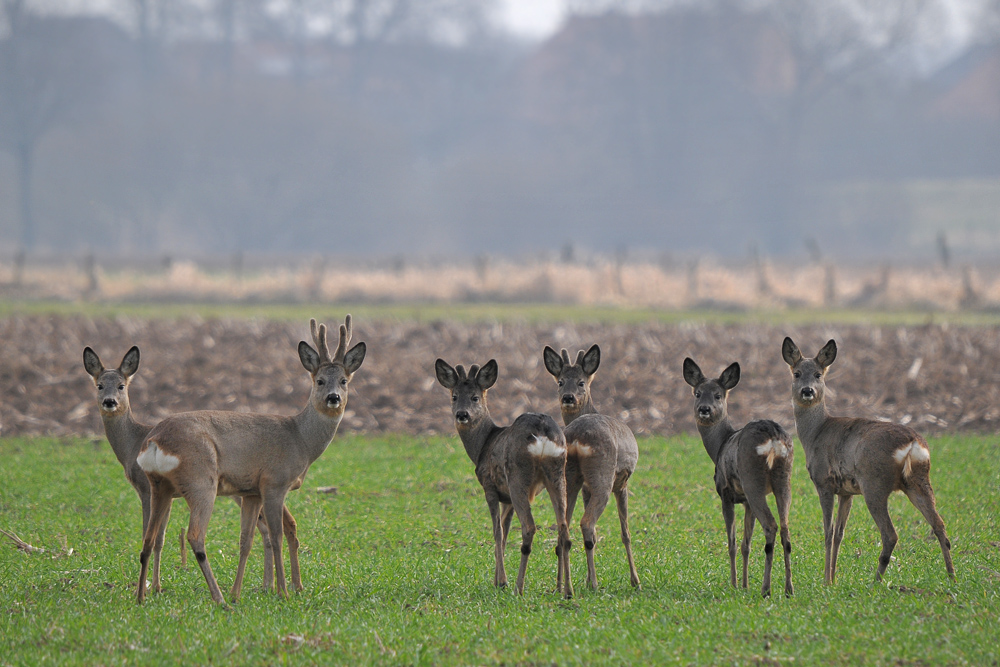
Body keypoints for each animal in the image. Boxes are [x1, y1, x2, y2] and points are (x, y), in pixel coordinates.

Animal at [135, 316, 366, 604]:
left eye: (344, 380)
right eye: (320, 381)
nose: (333, 398)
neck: (300, 438)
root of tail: (155, 441)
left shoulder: (251, 491)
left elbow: (246, 540)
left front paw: (239, 592)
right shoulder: (274, 482)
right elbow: (277, 536)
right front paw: (283, 591)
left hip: (159, 486)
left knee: (148, 538)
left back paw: (142, 597)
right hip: (201, 481)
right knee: (195, 536)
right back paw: (219, 599)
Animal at [434, 360, 576, 600]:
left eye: (475, 397)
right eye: (454, 396)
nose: (462, 414)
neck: (483, 445)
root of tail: (542, 432)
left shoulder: (490, 486)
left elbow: (497, 532)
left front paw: (501, 582)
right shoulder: (507, 498)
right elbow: (505, 531)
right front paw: (497, 579)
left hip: (518, 476)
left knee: (529, 527)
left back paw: (519, 587)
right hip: (557, 473)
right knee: (564, 528)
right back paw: (566, 590)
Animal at [540, 348, 640, 592]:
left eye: (581, 382)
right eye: (560, 381)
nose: (568, 397)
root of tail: (576, 438)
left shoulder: (586, 488)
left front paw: (583, 578)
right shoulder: (622, 482)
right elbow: (625, 532)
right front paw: (635, 580)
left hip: (570, 478)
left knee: (564, 526)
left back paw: (561, 586)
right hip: (602, 477)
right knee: (586, 523)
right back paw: (594, 584)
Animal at [680, 358, 796, 596]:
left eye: (718, 395)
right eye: (697, 393)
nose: (704, 409)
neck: (719, 445)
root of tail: (773, 438)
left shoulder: (726, 493)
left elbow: (732, 543)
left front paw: (734, 584)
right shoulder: (746, 502)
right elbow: (746, 544)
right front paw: (744, 584)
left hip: (753, 481)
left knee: (771, 526)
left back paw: (766, 589)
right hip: (783, 479)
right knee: (786, 529)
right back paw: (789, 589)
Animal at [780, 340, 952, 584]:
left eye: (818, 374)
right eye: (796, 373)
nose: (807, 391)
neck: (815, 433)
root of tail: (912, 443)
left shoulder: (824, 482)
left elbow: (828, 532)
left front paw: (825, 580)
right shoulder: (846, 492)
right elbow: (839, 534)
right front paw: (833, 579)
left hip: (874, 484)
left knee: (890, 534)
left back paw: (876, 581)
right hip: (918, 481)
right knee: (939, 525)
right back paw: (951, 576)